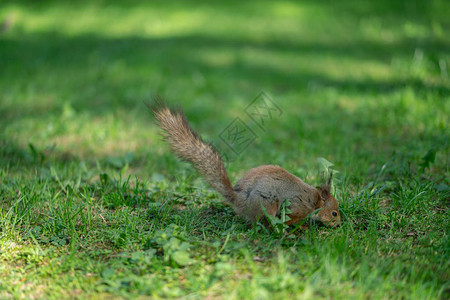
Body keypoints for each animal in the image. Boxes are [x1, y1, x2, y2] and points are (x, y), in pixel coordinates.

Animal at [148, 99, 342, 226]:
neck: (314, 200)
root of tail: (239, 201)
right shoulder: (296, 206)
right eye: (334, 213)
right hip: (267, 202)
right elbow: (290, 219)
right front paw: (298, 227)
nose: (339, 224)